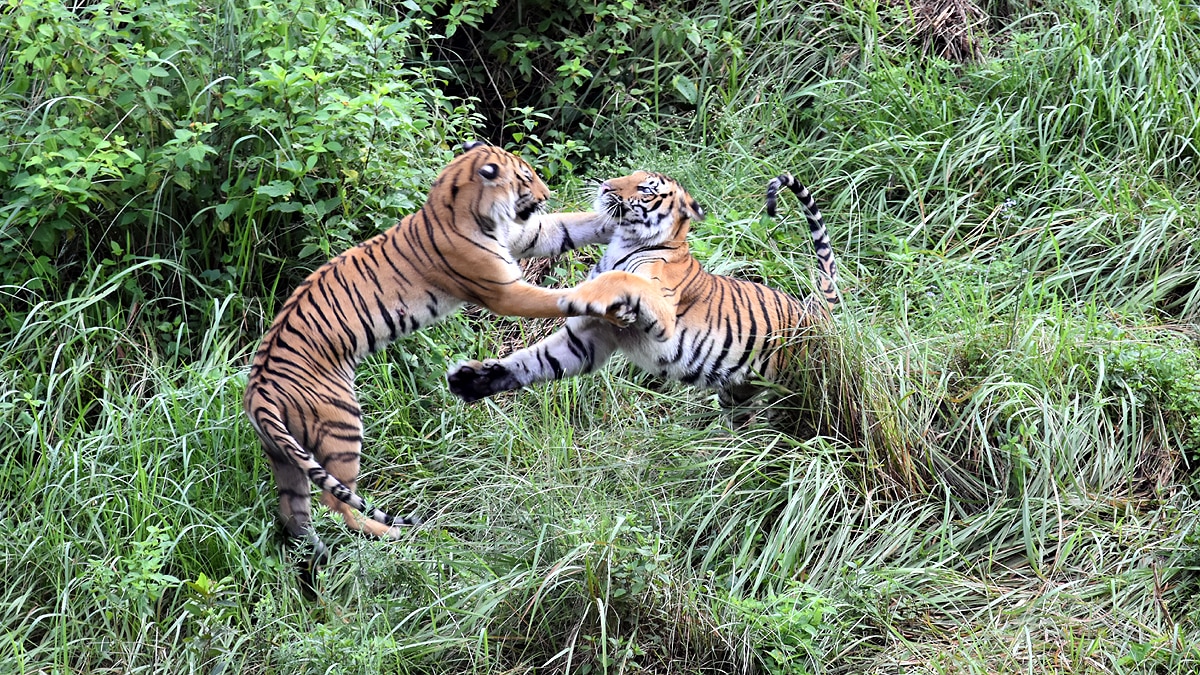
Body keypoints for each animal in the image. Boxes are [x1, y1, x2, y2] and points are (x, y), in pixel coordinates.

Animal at [243, 143, 675, 556]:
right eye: (526, 178)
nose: (547, 194)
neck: (464, 202)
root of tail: (257, 392)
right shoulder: (505, 291)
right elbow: (564, 297)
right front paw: (615, 299)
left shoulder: (528, 234)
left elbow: (574, 225)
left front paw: (625, 216)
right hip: (342, 427)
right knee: (336, 503)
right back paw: (388, 535)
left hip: (283, 456)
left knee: (294, 511)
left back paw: (312, 553)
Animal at [446, 170, 838, 419]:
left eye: (646, 189)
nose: (606, 186)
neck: (627, 240)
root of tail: (815, 312)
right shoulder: (588, 338)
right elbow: (535, 361)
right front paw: (473, 381)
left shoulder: (661, 316)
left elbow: (623, 279)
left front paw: (581, 295)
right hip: (737, 393)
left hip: (807, 386)